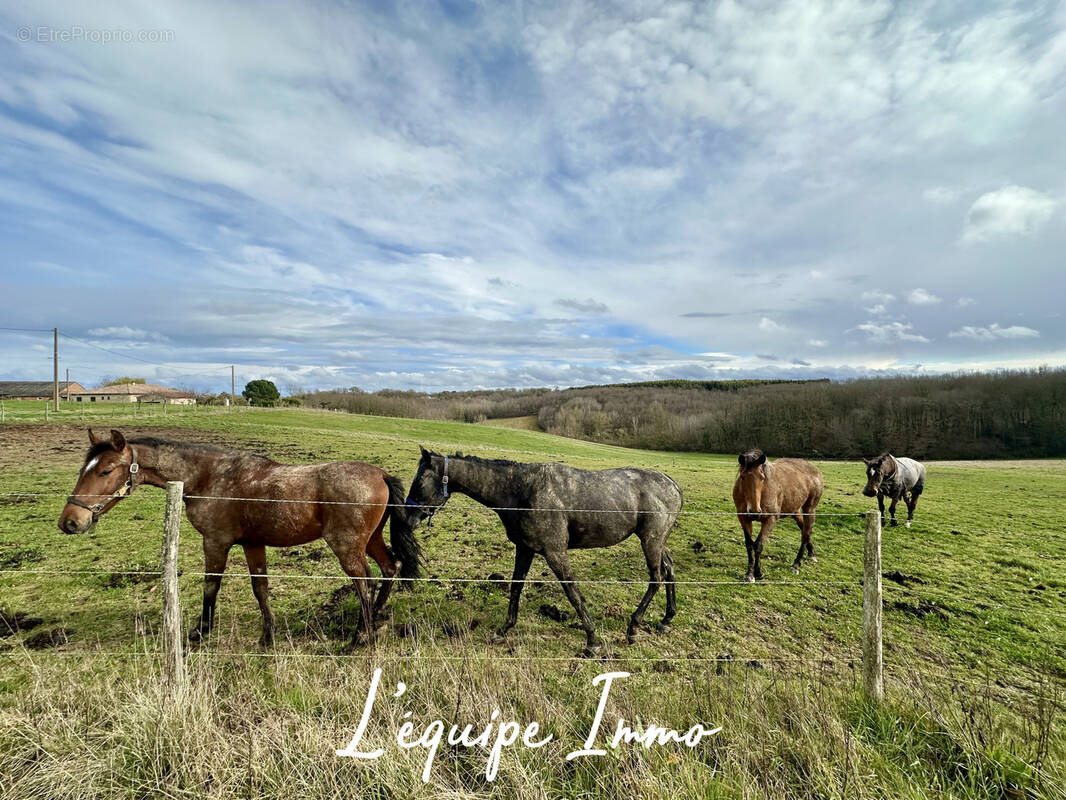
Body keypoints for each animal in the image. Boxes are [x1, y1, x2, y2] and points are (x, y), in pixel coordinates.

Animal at [56, 428, 417, 648]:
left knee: (365, 584)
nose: (70, 522)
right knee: (390, 568)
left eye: (105, 470)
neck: (209, 477)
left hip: (347, 547)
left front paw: (200, 631)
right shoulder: (253, 544)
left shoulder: (216, 542)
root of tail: (380, 474)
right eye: (83, 468)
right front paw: (267, 635)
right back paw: (378, 619)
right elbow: (261, 588)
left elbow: (211, 585)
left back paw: (359, 638)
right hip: (371, 541)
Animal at [402, 448, 677, 652]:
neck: (522, 490)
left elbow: (572, 592)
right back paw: (666, 619)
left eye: (420, 481)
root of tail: (672, 484)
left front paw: (592, 640)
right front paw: (503, 630)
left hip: (650, 541)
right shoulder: (525, 549)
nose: (407, 518)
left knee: (656, 577)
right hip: (657, 541)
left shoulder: (555, 553)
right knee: (669, 569)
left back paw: (633, 627)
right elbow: (516, 587)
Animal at [733, 452, 822, 584]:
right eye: (742, 477)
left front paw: (758, 573)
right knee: (805, 530)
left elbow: (758, 545)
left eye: (762, 477)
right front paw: (749, 574)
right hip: (795, 511)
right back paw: (812, 554)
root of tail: (815, 470)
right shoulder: (744, 519)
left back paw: (796, 565)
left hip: (809, 510)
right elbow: (749, 544)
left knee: (805, 534)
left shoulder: (770, 520)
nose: (754, 511)